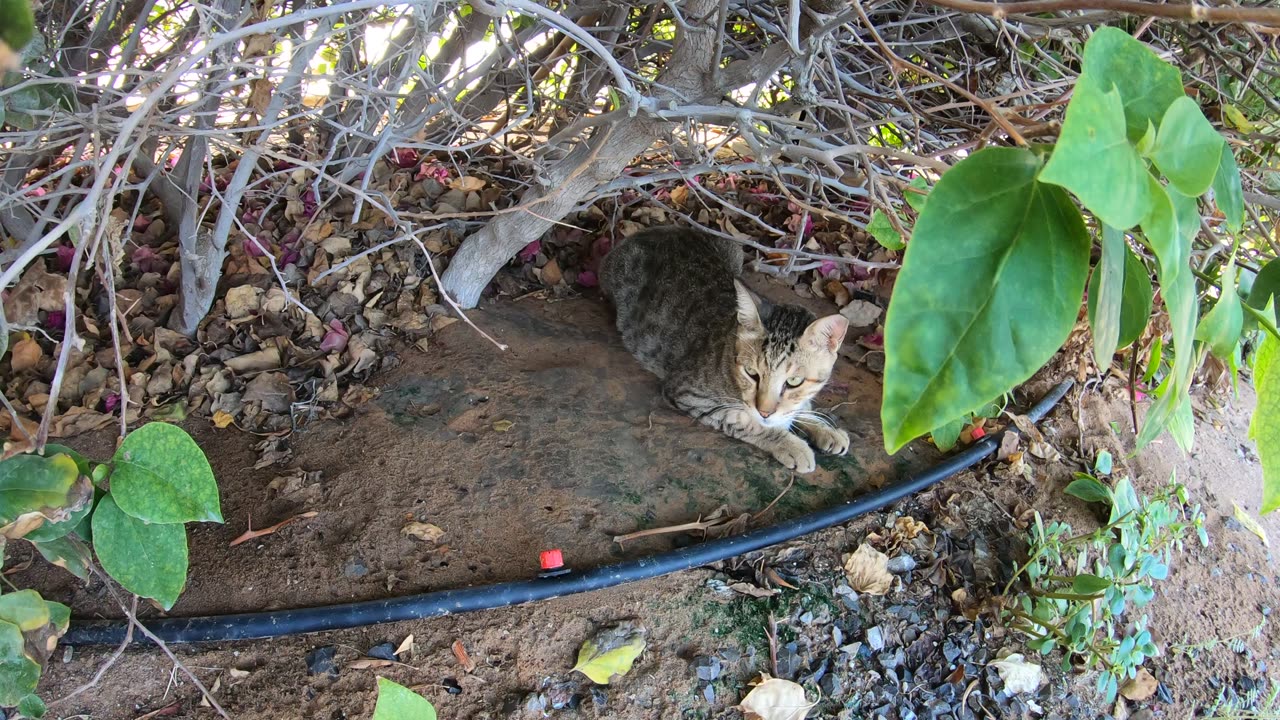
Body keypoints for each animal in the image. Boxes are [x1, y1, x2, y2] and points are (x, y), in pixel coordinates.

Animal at [599, 224, 849, 471]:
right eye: (751, 373)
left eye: (794, 381)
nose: (765, 411)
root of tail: (653, 230)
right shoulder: (689, 394)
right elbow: (748, 422)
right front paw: (790, 444)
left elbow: (799, 406)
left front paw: (825, 429)